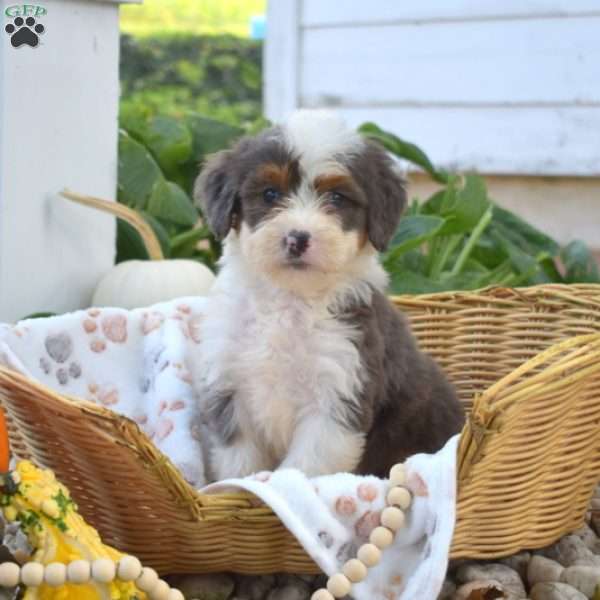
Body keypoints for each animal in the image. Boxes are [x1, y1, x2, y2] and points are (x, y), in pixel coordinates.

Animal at [192, 109, 464, 482]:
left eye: (336, 198)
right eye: (270, 194)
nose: (297, 238)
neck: (290, 300)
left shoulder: (337, 395)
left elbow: (303, 471)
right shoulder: (229, 390)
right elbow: (240, 466)